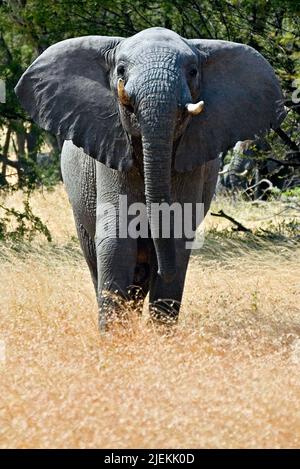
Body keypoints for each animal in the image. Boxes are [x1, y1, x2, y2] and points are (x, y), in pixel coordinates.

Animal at [14, 27, 286, 328]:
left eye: (193, 71)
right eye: (121, 70)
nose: (164, 271)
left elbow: (176, 234)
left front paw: (159, 333)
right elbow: (117, 240)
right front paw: (115, 335)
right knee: (97, 259)